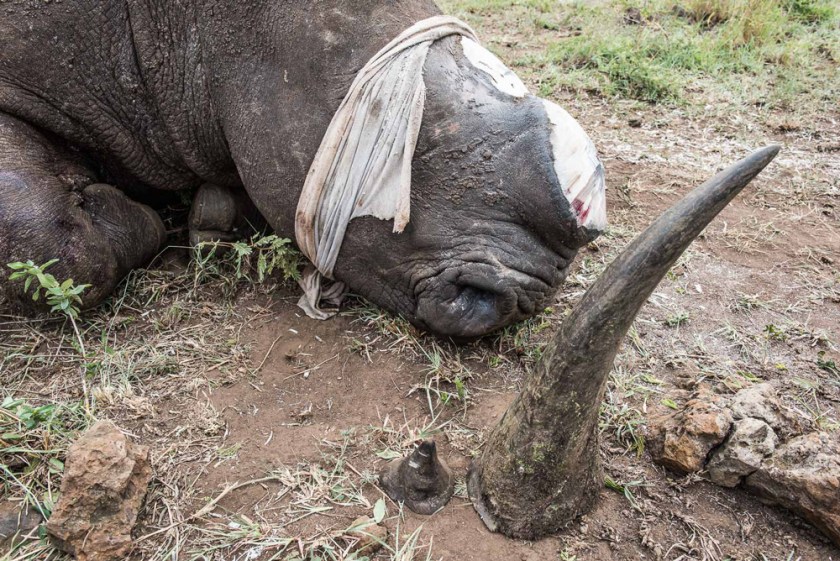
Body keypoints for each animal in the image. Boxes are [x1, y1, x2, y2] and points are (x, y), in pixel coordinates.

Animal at [0, 1, 605, 338]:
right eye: (415, 136)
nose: (524, 302)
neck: (174, 24)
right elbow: (56, 240)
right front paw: (137, 213)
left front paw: (210, 216)